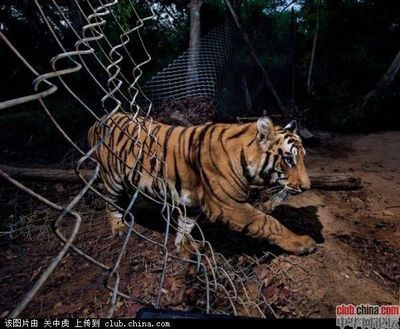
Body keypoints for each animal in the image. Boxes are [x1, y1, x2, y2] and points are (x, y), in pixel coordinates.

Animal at [87, 113, 316, 256]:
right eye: (289, 159)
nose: (307, 187)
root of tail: (97, 121)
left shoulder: (192, 201)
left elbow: (186, 225)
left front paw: (184, 247)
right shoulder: (227, 205)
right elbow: (268, 222)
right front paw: (302, 242)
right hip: (112, 178)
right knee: (110, 202)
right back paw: (118, 227)